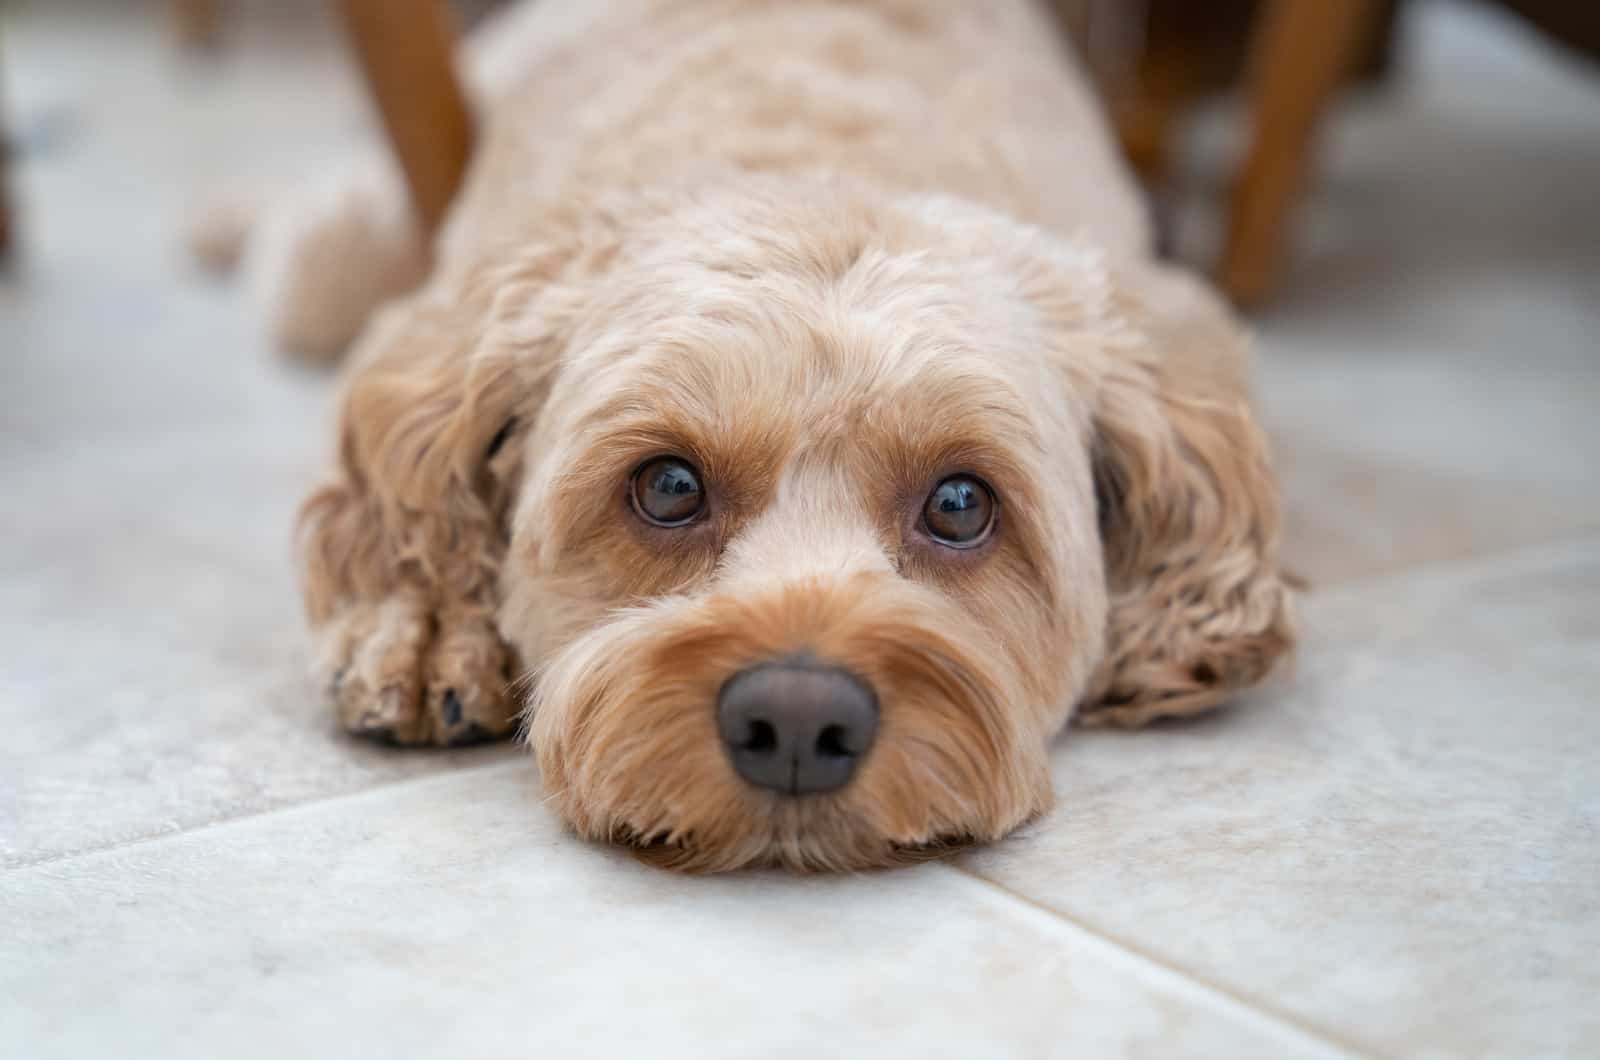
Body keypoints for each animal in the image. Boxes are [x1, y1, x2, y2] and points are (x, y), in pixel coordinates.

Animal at [228, 0, 1299, 871]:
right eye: (668, 487)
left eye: (960, 503)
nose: (795, 722)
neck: (822, 168)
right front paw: (426, 625)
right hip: (345, 247)